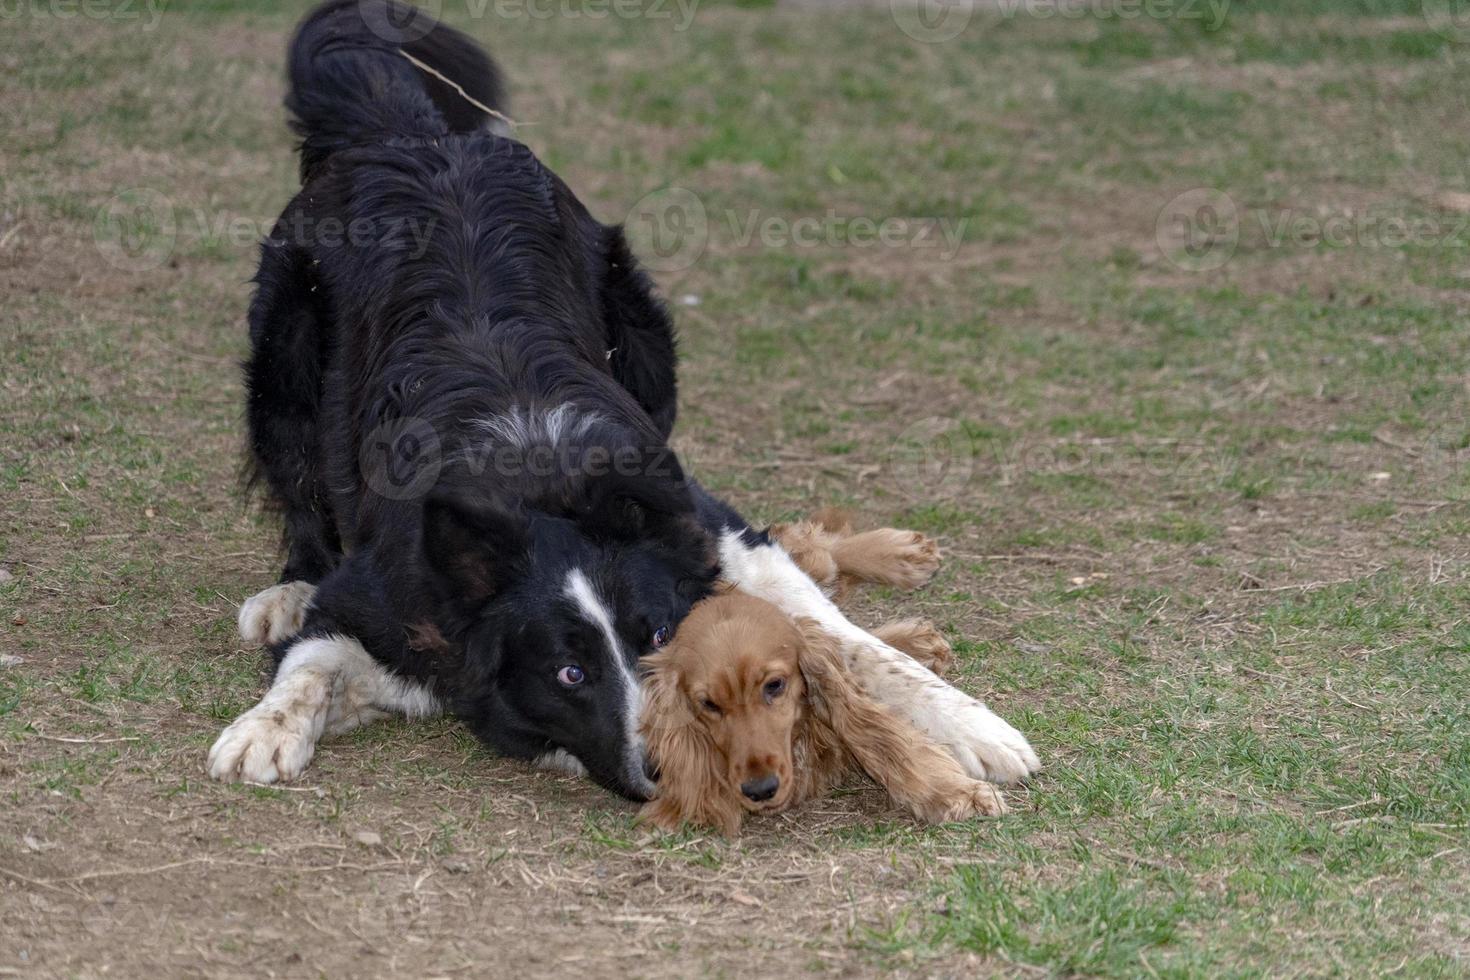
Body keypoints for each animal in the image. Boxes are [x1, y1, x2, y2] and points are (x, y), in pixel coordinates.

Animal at [207, 0, 1040, 805]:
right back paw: (288, 585)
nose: (679, 767)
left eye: (662, 636)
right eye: (570, 673)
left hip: (645, 339)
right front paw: (264, 727)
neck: (534, 475)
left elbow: (840, 638)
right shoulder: (384, 597)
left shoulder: (708, 528)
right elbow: (310, 662)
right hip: (282, 360)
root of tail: (411, 134)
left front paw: (971, 724)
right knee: (300, 490)